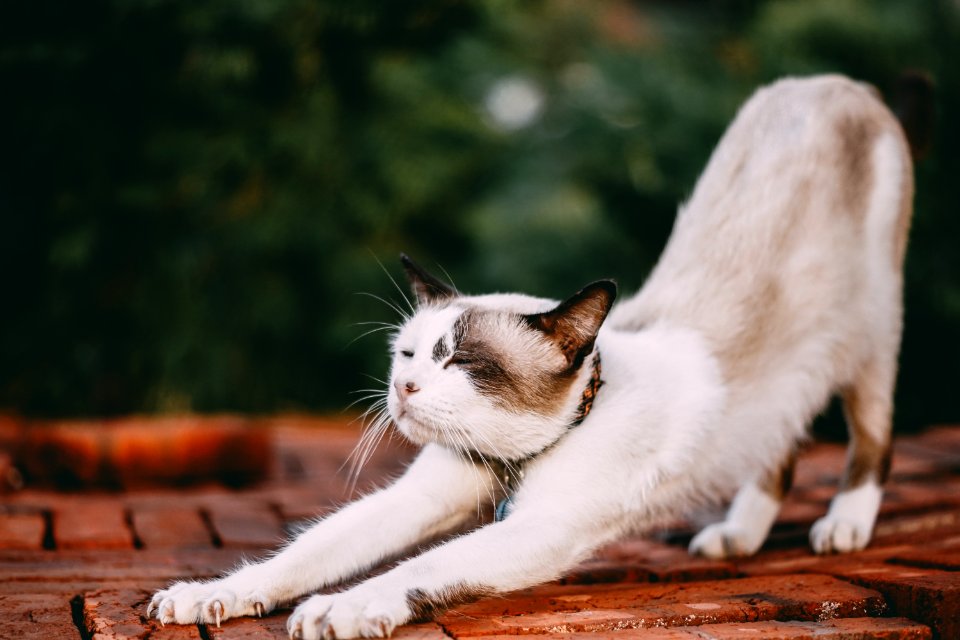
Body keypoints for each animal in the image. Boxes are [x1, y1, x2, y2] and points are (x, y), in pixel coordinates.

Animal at [146, 74, 920, 636]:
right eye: (409, 356)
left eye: (461, 362)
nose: (404, 392)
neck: (511, 461)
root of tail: (837, 82)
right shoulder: (422, 497)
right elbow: (301, 554)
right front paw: (206, 596)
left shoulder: (543, 528)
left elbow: (418, 568)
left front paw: (341, 609)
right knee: (781, 441)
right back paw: (737, 536)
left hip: (869, 339)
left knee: (871, 437)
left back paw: (843, 526)